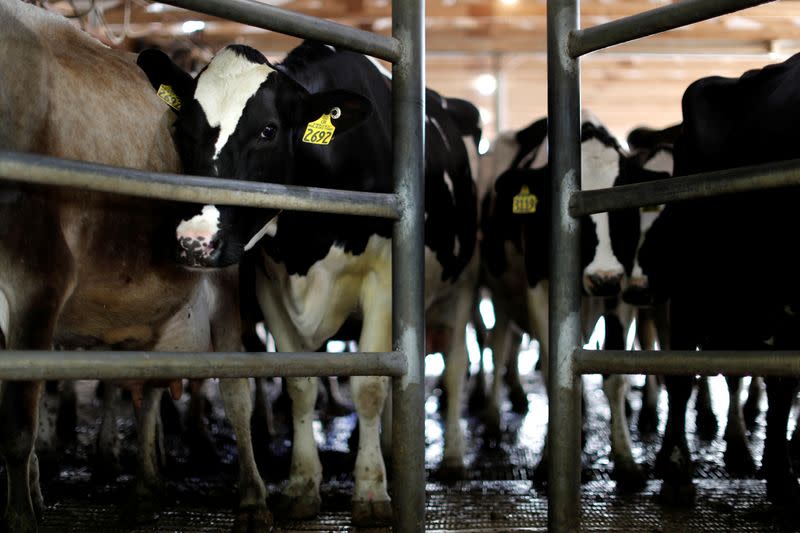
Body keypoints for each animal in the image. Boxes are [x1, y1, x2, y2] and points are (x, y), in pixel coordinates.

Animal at [0, 2, 268, 528]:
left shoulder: (37, 278)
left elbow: (18, 430)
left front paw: (20, 517)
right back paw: (144, 489)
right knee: (150, 379)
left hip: (224, 284)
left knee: (236, 391)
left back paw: (252, 497)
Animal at [139, 40, 482, 524]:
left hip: (463, 284)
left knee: (453, 367)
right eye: (184, 129)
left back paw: (451, 458)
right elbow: (300, 384)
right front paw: (302, 484)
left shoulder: (383, 281)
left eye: (267, 130)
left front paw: (370, 490)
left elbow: (369, 387)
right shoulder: (269, 282)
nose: (195, 242)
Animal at [478, 110, 648, 488]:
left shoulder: (621, 293)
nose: (603, 278)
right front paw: (547, 462)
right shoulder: (538, 289)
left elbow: (614, 377)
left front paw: (626, 460)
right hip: (499, 293)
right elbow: (552, 372)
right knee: (498, 345)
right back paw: (493, 420)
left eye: (623, 209)